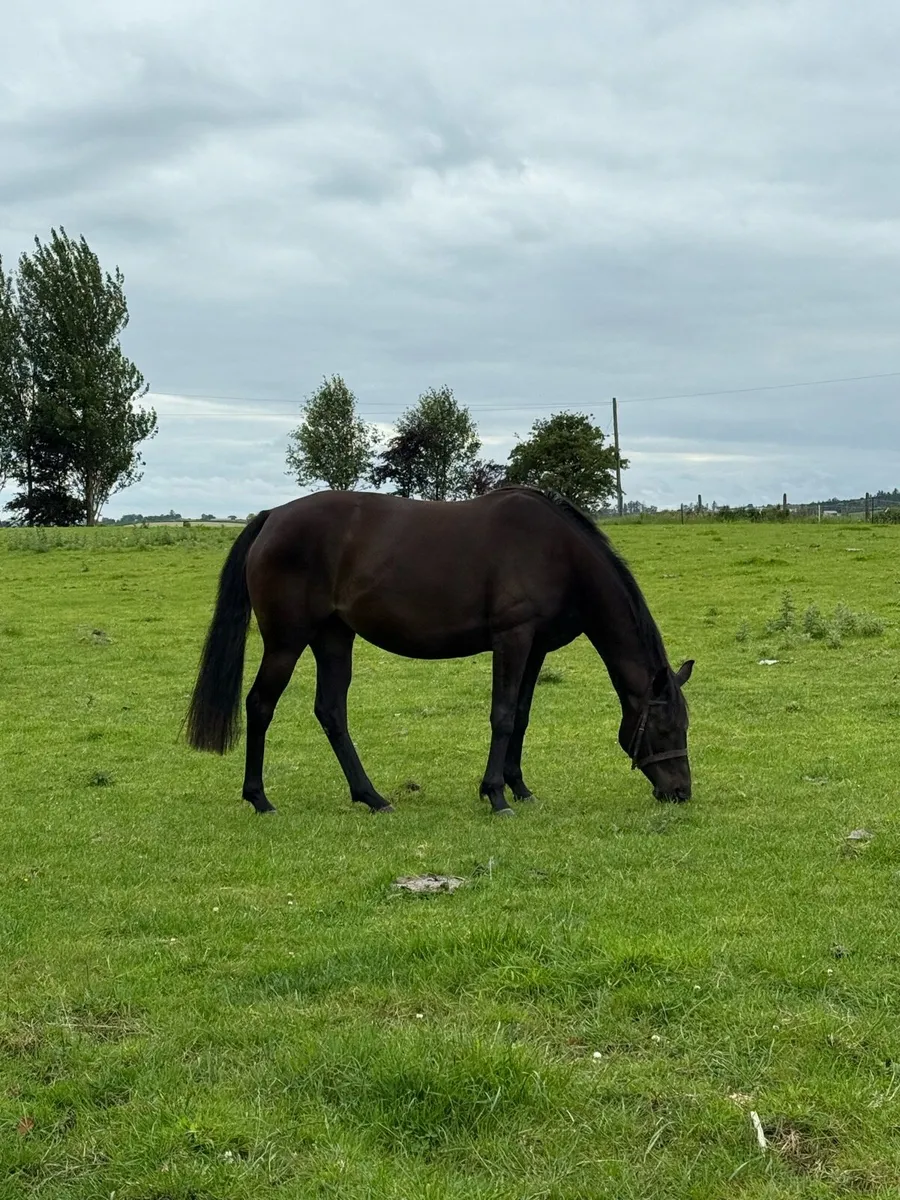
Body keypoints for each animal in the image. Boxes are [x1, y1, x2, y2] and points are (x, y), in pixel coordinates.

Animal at [185, 486, 694, 816]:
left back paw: (371, 797)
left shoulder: (536, 647)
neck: (559, 553)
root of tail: (272, 516)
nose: (681, 792)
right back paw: (260, 799)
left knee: (331, 711)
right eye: (665, 729)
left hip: (333, 637)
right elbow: (502, 715)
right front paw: (496, 795)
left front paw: (520, 788)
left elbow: (522, 715)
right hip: (286, 642)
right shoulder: (513, 638)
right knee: (260, 705)